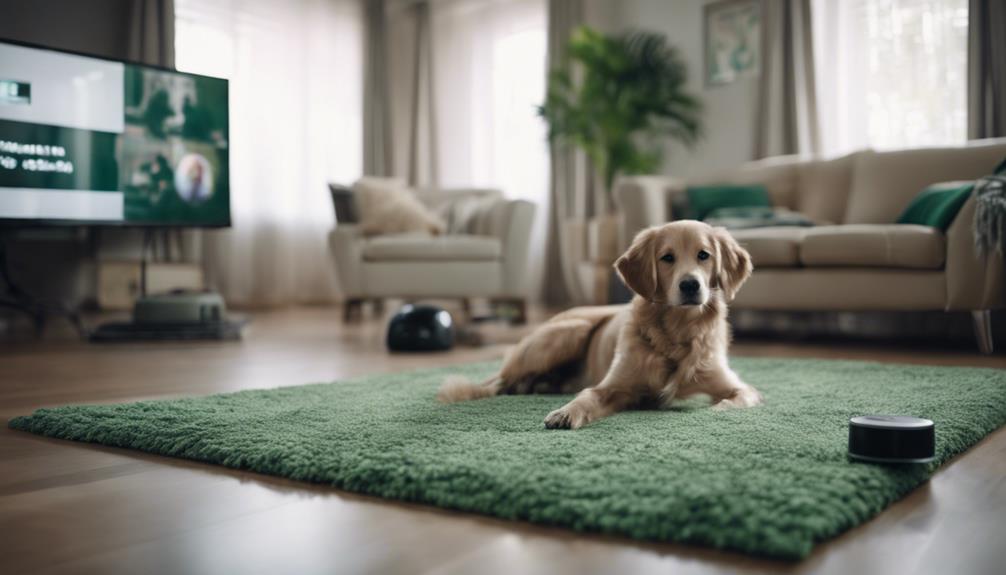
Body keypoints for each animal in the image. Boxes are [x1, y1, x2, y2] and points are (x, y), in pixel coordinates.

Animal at [436, 219, 756, 426]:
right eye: (667, 258)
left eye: (704, 255)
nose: (690, 285)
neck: (677, 330)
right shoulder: (612, 387)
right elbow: (587, 396)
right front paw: (564, 413)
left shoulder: (740, 388)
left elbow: (732, 401)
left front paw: (713, 411)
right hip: (568, 332)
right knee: (498, 381)